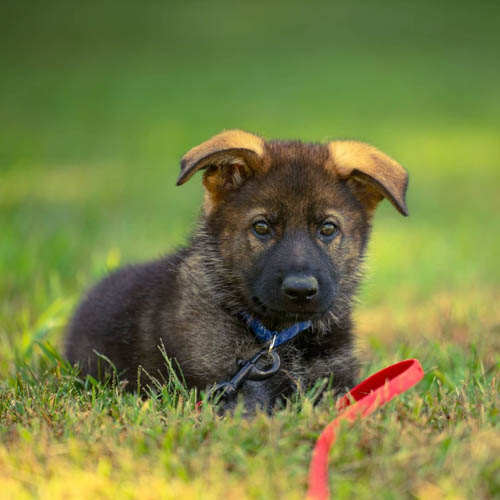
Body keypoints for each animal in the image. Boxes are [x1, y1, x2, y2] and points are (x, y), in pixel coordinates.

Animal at [64, 129, 408, 410]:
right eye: (261, 227)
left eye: (327, 228)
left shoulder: (336, 382)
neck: (277, 337)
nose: (300, 290)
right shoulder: (234, 391)